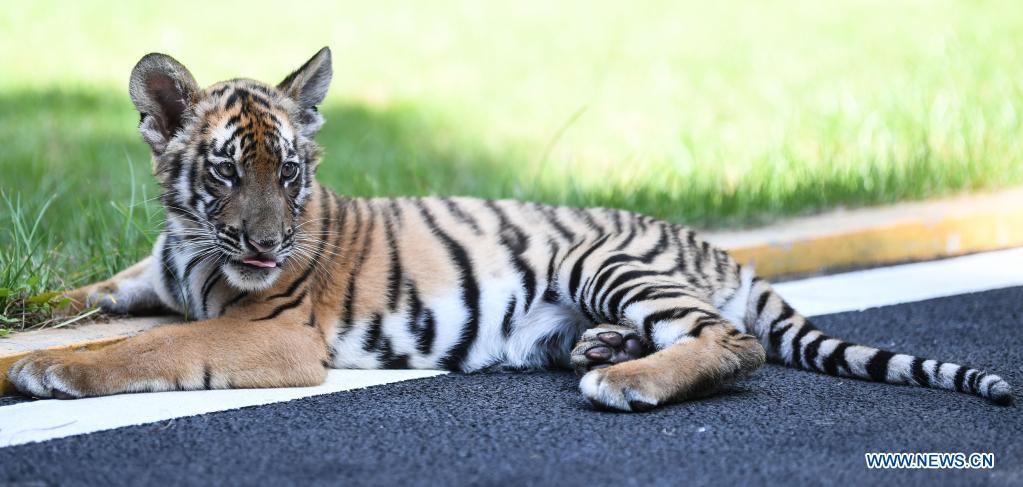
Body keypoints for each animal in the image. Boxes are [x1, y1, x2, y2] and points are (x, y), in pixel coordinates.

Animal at [7, 48, 1013, 411]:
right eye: (225, 169)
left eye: (288, 173)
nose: (264, 244)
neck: (190, 246)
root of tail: (713, 244)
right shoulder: (141, 277)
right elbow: (77, 298)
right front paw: (36, 334)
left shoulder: (272, 331)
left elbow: (149, 348)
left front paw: (51, 369)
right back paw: (600, 349)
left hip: (605, 257)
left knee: (732, 340)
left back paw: (623, 380)